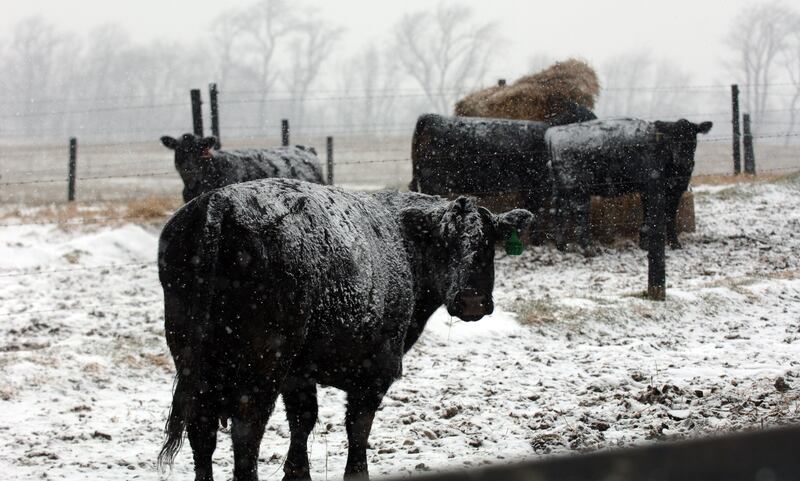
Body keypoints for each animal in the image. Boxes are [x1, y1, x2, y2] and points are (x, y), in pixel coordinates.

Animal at [156, 178, 532, 481]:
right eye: (443, 243)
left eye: (489, 244)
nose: (472, 302)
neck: (403, 242)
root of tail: (220, 201)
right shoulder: (375, 371)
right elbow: (357, 428)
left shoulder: (299, 373)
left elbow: (303, 421)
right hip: (263, 363)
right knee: (246, 433)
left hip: (191, 356)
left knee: (202, 430)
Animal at [545, 118, 713, 251]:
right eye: (672, 139)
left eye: (692, 137)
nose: (684, 160)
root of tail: (555, 133)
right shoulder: (656, 188)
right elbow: (659, 216)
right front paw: (667, 244)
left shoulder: (666, 190)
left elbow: (659, 215)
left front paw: (652, 243)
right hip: (577, 186)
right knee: (579, 211)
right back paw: (588, 247)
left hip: (561, 188)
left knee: (560, 211)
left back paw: (562, 246)